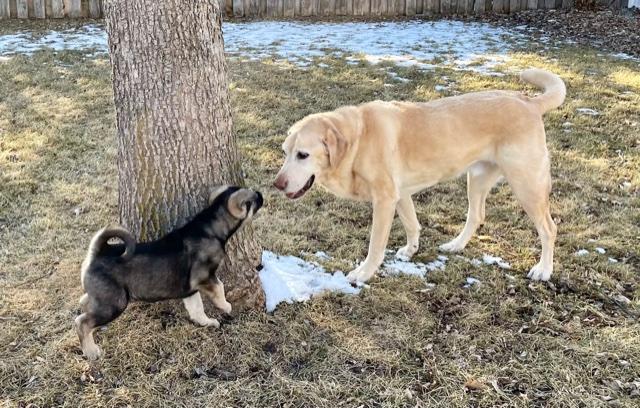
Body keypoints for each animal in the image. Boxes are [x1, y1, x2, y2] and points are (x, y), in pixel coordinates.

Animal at [74, 186, 262, 360]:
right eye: (253, 198)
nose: (261, 194)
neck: (211, 228)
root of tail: (97, 252)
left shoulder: (190, 289)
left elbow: (197, 309)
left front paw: (207, 322)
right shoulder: (205, 277)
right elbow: (220, 288)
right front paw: (226, 306)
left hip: (104, 298)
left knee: (84, 302)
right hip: (115, 303)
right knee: (82, 322)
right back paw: (91, 352)